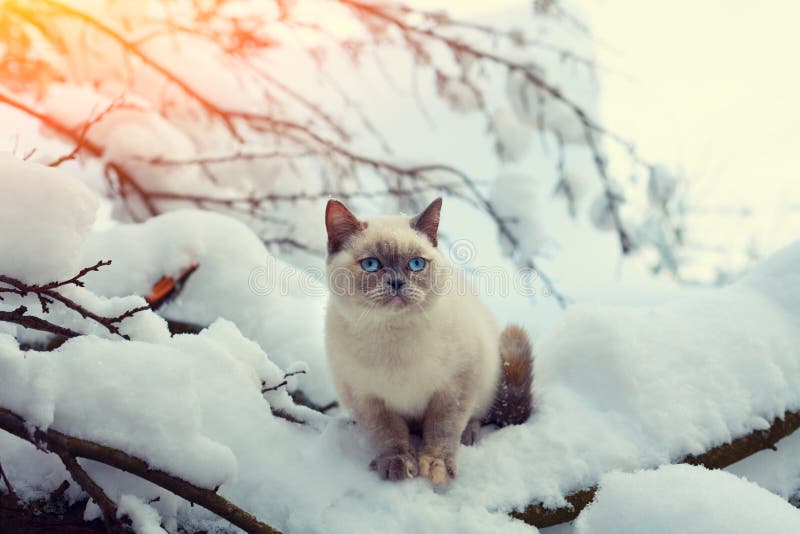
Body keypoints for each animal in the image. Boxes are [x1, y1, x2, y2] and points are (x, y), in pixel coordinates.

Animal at [322, 199, 536, 488]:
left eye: (415, 264)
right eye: (371, 264)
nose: (397, 282)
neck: (393, 338)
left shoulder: (455, 386)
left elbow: (442, 430)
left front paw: (435, 466)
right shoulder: (366, 398)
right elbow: (389, 434)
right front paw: (398, 463)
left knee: (478, 416)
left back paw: (468, 434)